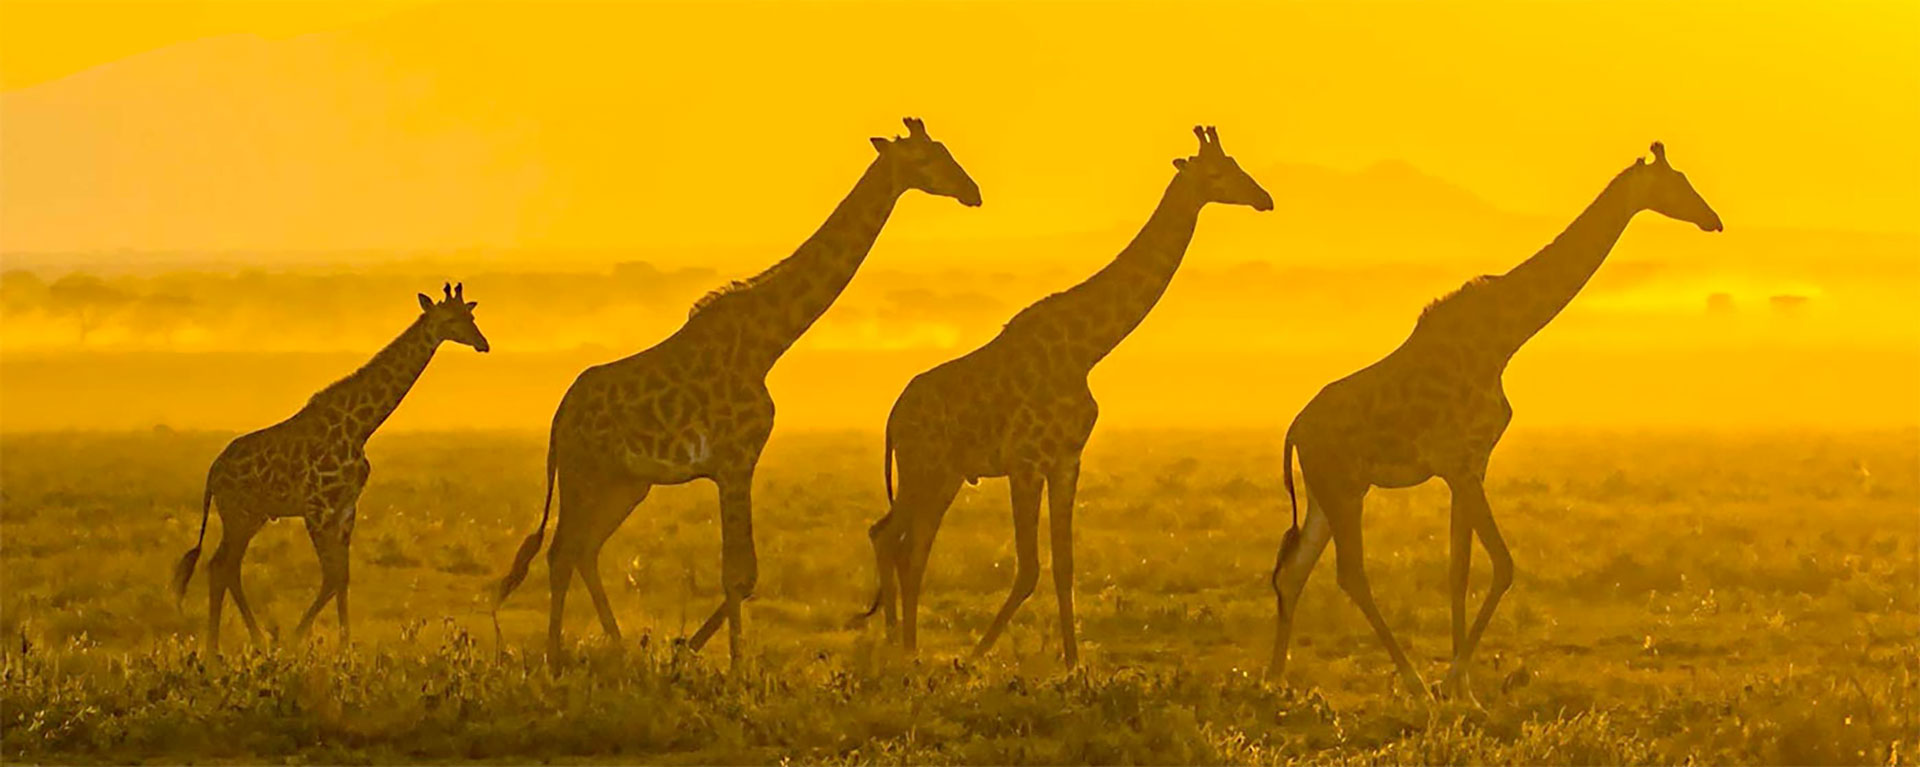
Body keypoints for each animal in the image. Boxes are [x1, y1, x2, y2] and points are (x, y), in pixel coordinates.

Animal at [170, 284, 490, 651]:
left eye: (471, 316)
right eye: (450, 319)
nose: (483, 343)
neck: (360, 426)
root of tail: (213, 473)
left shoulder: (346, 508)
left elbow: (342, 577)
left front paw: (343, 645)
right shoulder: (317, 508)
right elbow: (332, 576)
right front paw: (298, 638)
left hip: (252, 516)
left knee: (225, 566)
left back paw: (250, 641)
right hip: (238, 514)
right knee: (220, 566)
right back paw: (222, 647)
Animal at [492, 118, 981, 667]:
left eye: (945, 150)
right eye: (925, 159)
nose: (973, 192)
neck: (768, 343)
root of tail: (560, 415)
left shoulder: (732, 463)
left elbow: (744, 576)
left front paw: (690, 648)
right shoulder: (734, 461)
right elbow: (739, 574)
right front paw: (733, 664)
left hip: (626, 482)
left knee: (585, 549)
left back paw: (617, 646)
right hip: (585, 473)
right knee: (561, 552)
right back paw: (555, 658)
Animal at [852, 126, 1273, 667]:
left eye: (1238, 164)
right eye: (1218, 173)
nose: (1264, 198)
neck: (1087, 349)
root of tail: (893, 417)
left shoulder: (1068, 460)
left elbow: (1065, 563)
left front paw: (1073, 663)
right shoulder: (1027, 461)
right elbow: (1029, 566)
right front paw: (978, 653)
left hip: (942, 476)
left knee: (910, 544)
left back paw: (905, 646)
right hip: (923, 467)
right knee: (891, 538)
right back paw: (900, 649)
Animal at [1268, 142, 1723, 703]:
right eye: (1677, 182)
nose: (1713, 219)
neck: (1503, 340)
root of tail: (1294, 429)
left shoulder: (1471, 466)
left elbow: (1458, 569)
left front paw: (1464, 688)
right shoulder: (1460, 463)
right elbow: (1503, 565)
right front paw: (1451, 679)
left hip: (1325, 494)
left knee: (1293, 571)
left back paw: (1275, 680)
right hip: (1342, 488)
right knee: (1349, 574)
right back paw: (1410, 680)